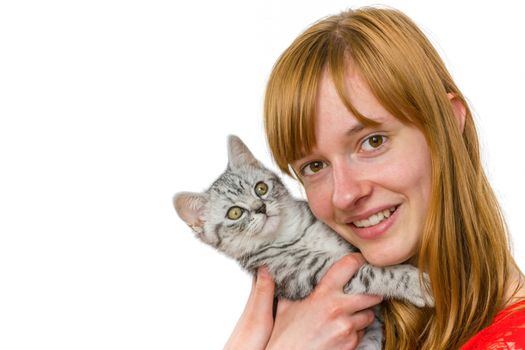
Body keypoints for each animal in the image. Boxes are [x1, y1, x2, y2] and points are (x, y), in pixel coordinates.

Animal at [174, 135, 432, 348]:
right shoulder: (309, 275)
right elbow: (374, 272)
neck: (293, 233)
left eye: (261, 188)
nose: (260, 207)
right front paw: (414, 283)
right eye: (235, 213)